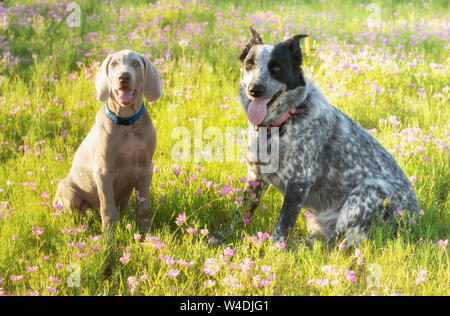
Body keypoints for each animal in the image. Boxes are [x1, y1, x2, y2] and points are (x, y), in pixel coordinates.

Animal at [230, 27, 420, 246]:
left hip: (367, 193)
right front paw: (222, 237)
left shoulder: (298, 182)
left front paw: (274, 251)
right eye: (249, 65)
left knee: (337, 244)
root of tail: (414, 221)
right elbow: (240, 213)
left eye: (276, 68)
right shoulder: (256, 176)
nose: (255, 90)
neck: (282, 122)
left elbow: (282, 228)